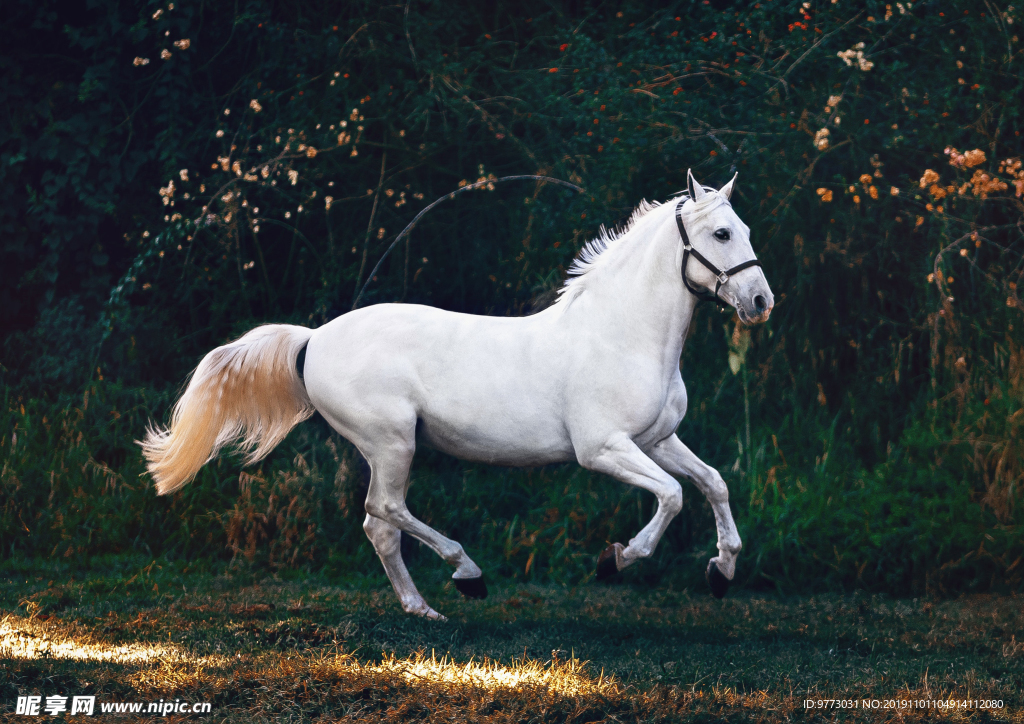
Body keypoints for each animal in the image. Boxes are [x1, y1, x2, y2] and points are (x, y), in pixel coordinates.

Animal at [141, 169, 774, 620]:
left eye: (746, 231)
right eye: (721, 233)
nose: (761, 302)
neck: (622, 335)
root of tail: (314, 338)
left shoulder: (657, 439)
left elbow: (712, 483)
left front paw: (721, 571)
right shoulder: (603, 449)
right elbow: (672, 496)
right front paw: (615, 560)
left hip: (389, 448)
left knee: (379, 526)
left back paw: (423, 609)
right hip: (392, 443)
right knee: (385, 511)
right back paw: (466, 575)